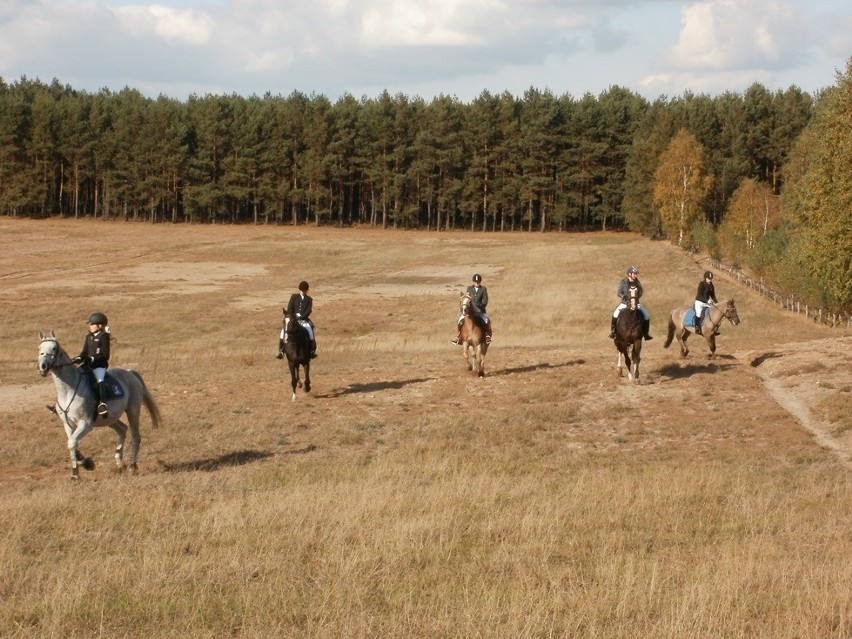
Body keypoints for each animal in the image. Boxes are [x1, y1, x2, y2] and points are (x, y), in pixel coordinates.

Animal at [37, 332, 163, 478]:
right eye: (39, 348)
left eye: (54, 348)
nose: (42, 367)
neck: (68, 390)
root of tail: (130, 372)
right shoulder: (67, 425)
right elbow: (72, 444)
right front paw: (80, 469)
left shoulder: (85, 424)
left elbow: (72, 443)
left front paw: (82, 468)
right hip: (109, 418)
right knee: (122, 429)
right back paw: (119, 463)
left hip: (133, 411)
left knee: (135, 436)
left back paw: (132, 466)